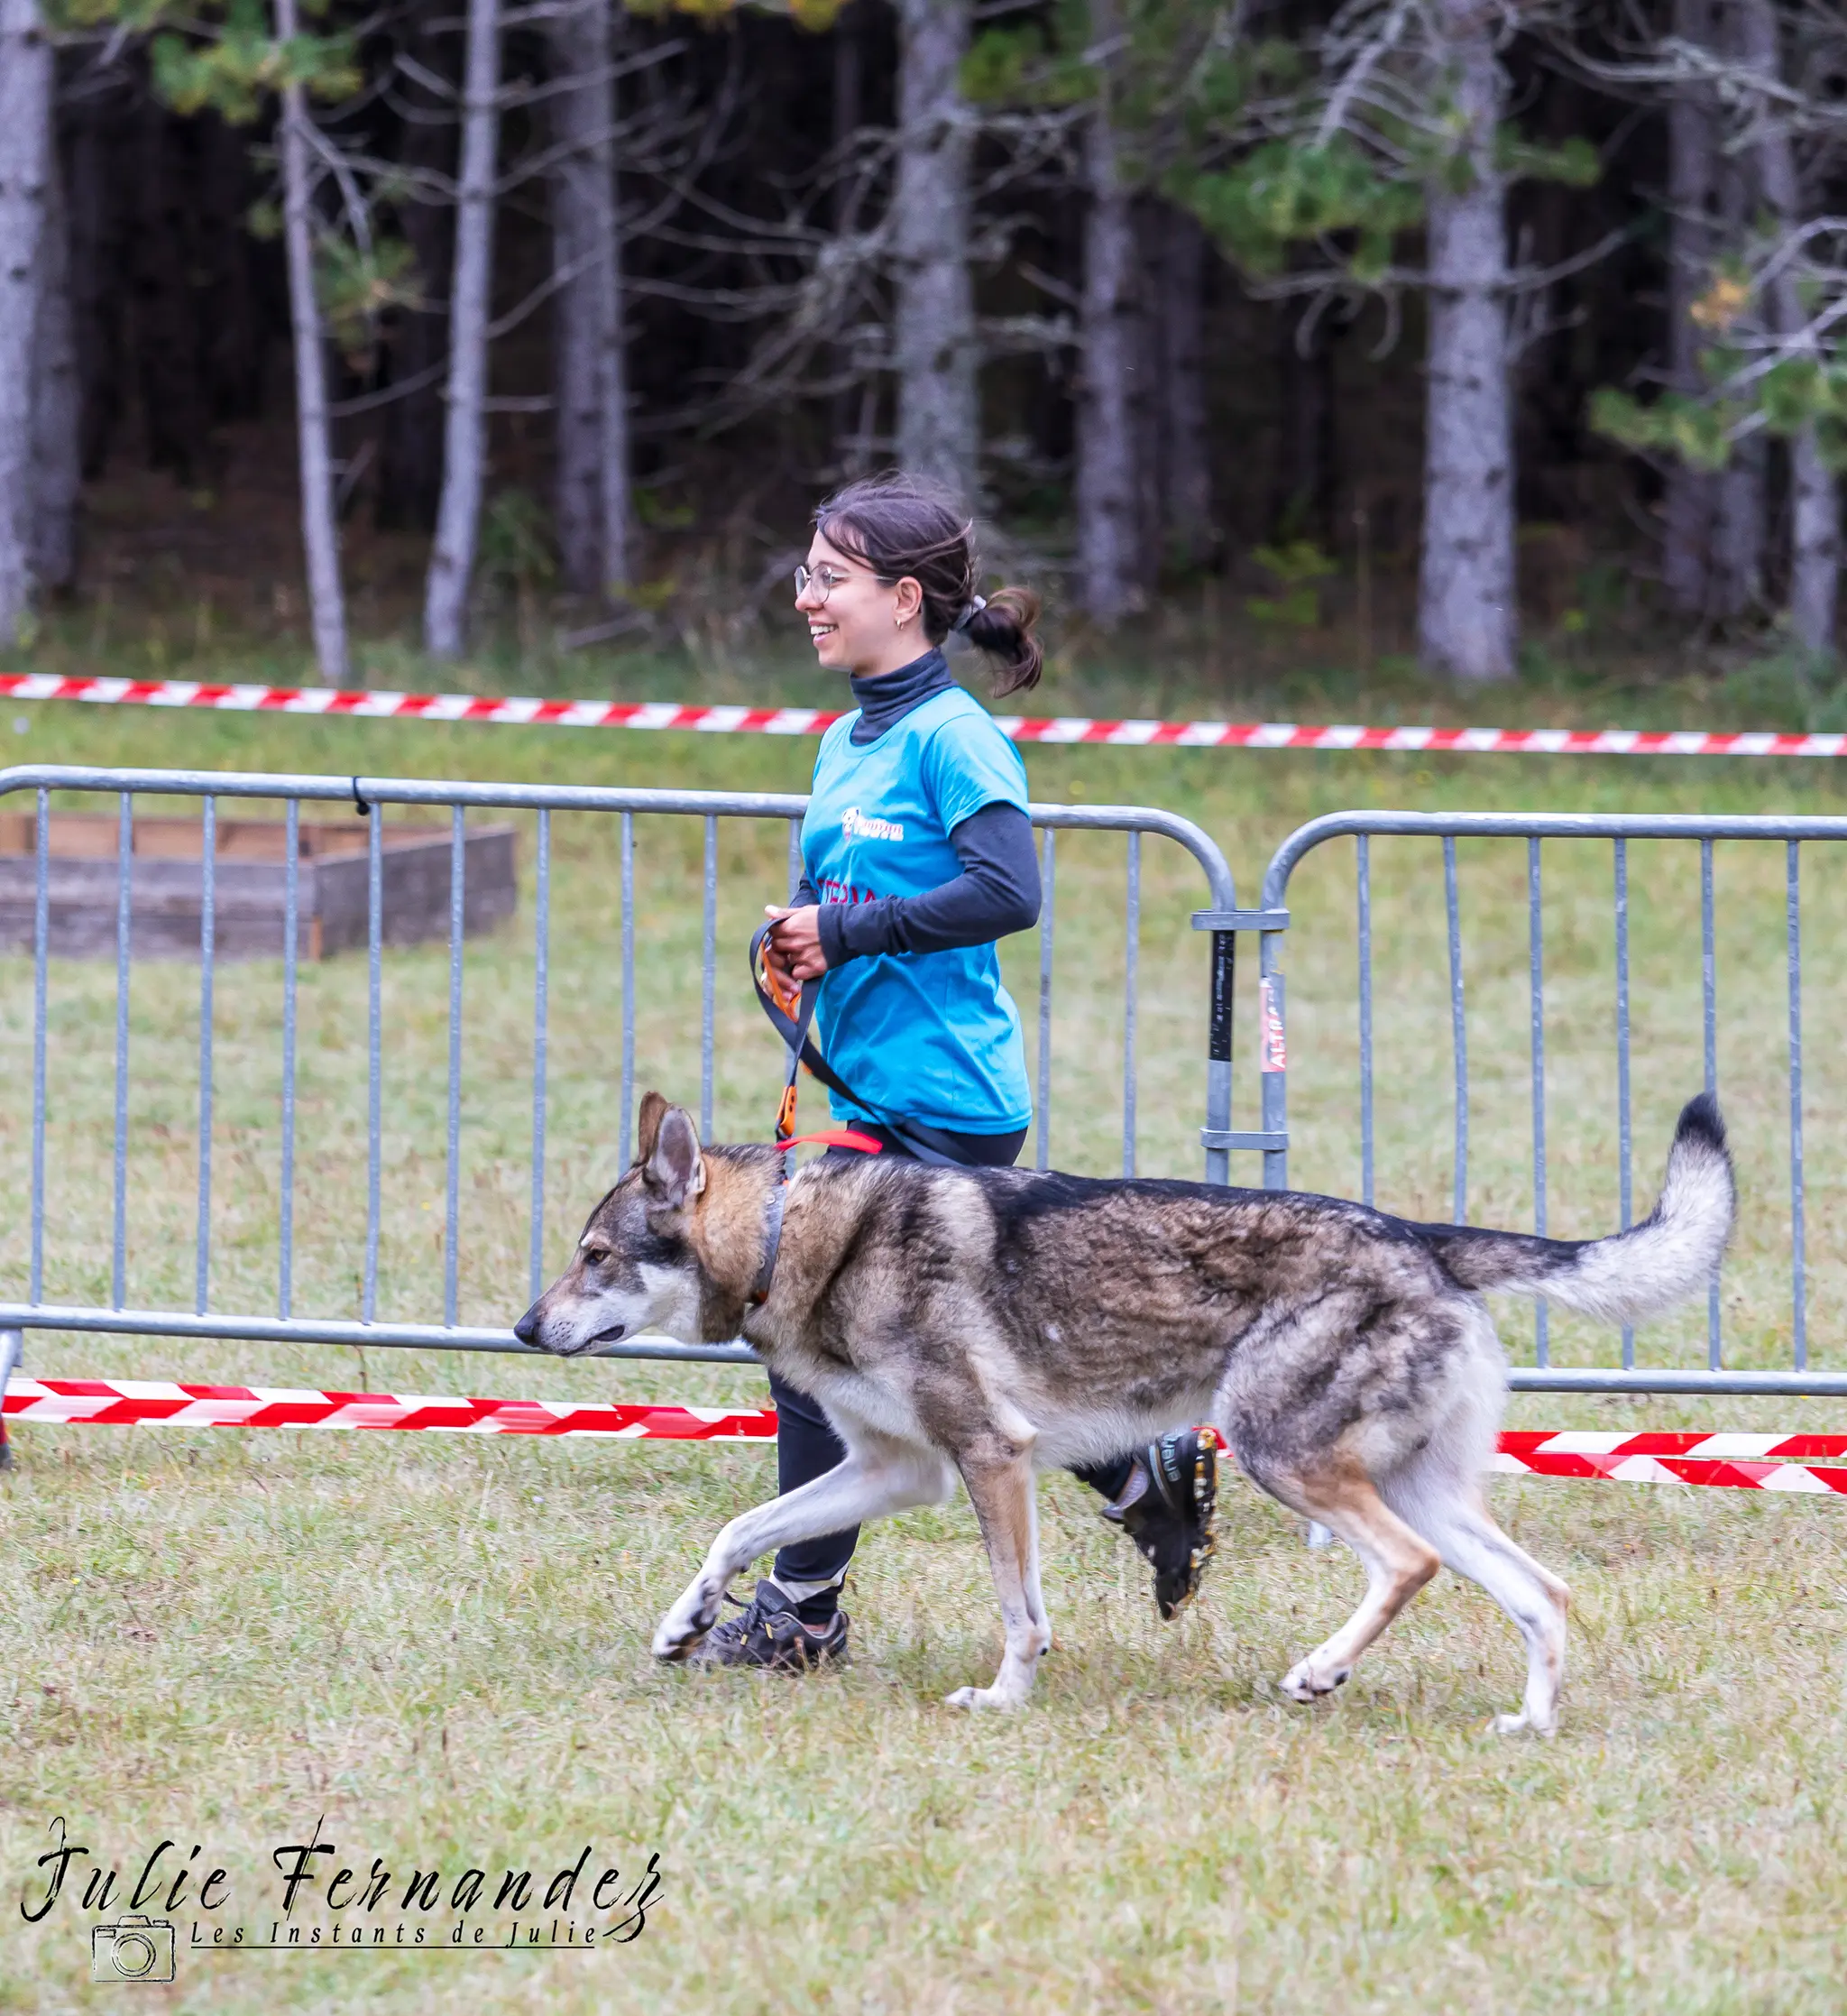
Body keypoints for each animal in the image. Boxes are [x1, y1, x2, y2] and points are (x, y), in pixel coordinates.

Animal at [516, 1088, 1733, 1734]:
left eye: (594, 1258)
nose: (525, 1329)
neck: (797, 1245)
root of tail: (1423, 1239)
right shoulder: (894, 1470)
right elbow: (739, 1533)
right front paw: (685, 1625)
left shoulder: (986, 1458)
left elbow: (1021, 1613)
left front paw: (1001, 1701)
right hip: (1413, 1486)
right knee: (1541, 1594)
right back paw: (1527, 1724)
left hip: (1286, 1459)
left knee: (1406, 1567)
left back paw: (1319, 1671)